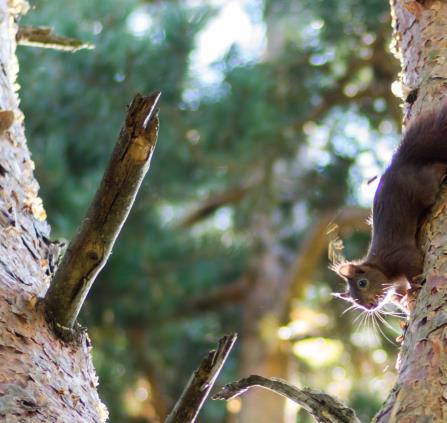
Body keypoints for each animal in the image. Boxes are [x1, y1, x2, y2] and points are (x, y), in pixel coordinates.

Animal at [334, 104, 447, 314]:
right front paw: (408, 302)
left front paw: (415, 287)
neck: (380, 267)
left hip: (423, 188)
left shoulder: (398, 255)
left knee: (434, 170)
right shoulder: (395, 288)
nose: (370, 306)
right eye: (355, 302)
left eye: (362, 283)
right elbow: (399, 296)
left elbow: (413, 263)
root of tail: (401, 163)